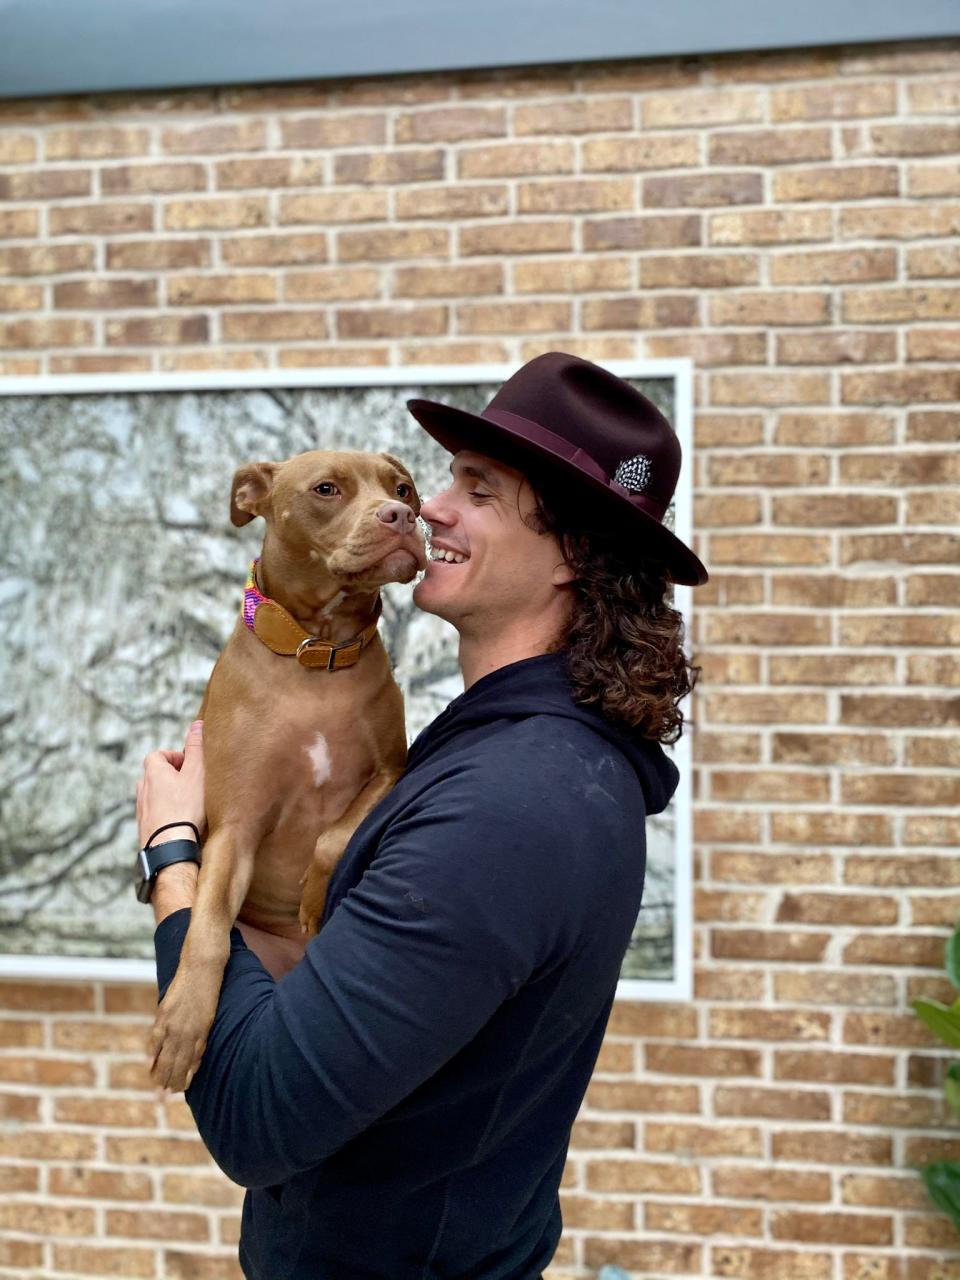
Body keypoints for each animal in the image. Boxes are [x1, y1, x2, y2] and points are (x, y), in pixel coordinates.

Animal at [147, 450, 424, 1090]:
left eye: (402, 488)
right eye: (326, 489)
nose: (400, 516)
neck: (317, 652)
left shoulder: (390, 771)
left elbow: (331, 838)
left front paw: (312, 900)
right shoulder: (236, 826)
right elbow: (206, 931)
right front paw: (184, 1020)